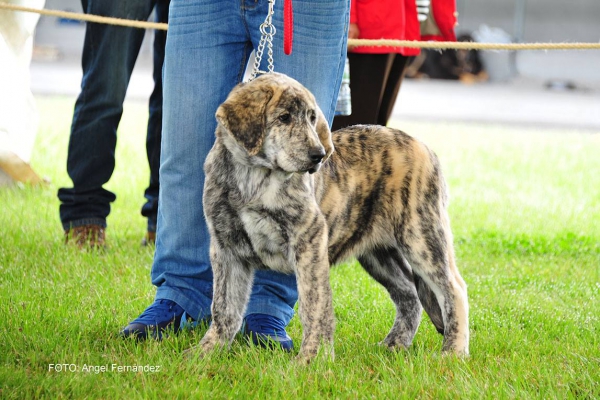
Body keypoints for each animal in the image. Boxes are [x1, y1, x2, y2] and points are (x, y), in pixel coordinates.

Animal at [195, 72, 466, 362]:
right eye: (284, 118)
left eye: (312, 118)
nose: (319, 155)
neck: (254, 177)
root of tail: (424, 147)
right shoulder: (226, 248)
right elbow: (224, 307)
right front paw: (206, 352)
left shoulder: (309, 239)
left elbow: (314, 305)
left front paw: (311, 359)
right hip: (379, 254)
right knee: (409, 293)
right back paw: (394, 344)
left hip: (421, 236)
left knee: (454, 289)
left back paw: (454, 351)